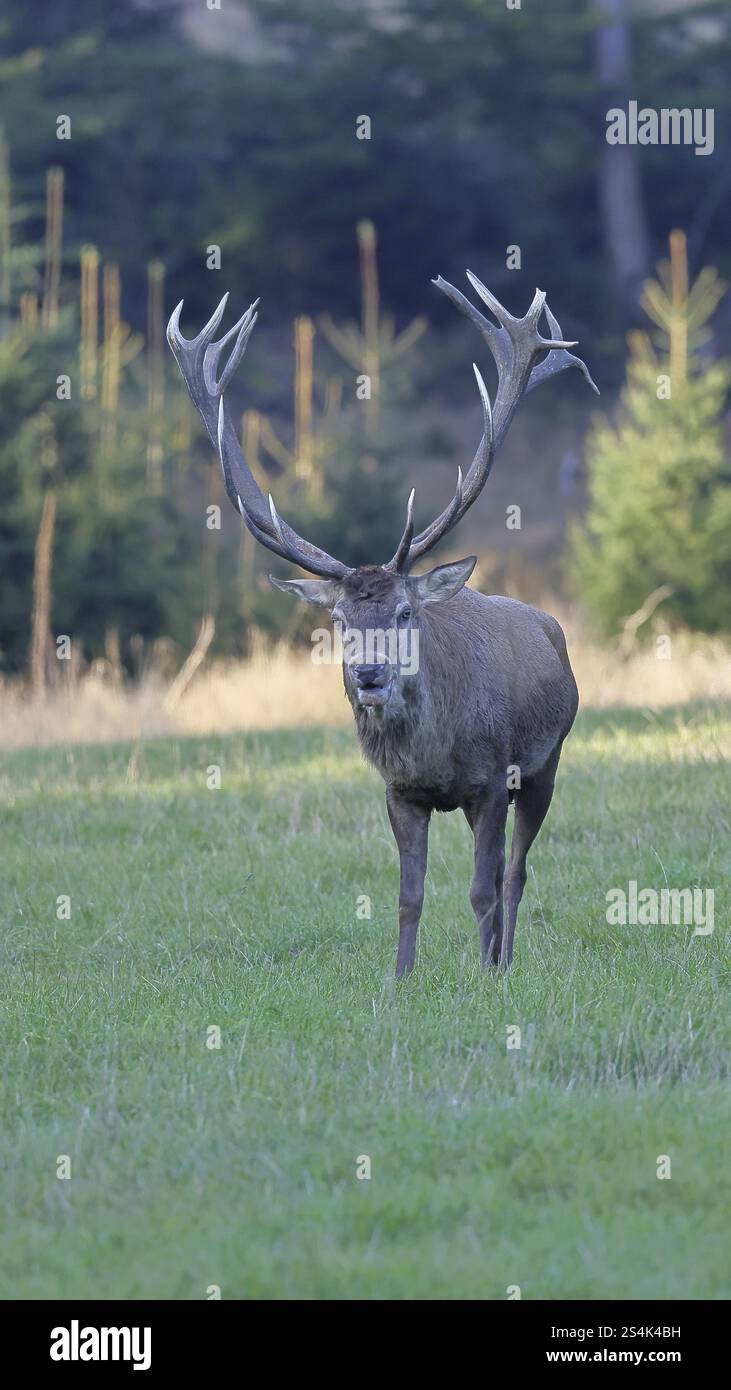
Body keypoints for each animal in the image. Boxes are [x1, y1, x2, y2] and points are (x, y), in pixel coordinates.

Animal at [167, 270, 597, 976]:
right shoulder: (400, 793)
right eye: (340, 619)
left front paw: (483, 978)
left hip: (546, 763)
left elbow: (480, 887)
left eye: (403, 610)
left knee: (514, 873)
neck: (435, 751)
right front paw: (400, 980)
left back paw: (503, 961)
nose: (369, 674)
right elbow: (409, 894)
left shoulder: (491, 778)